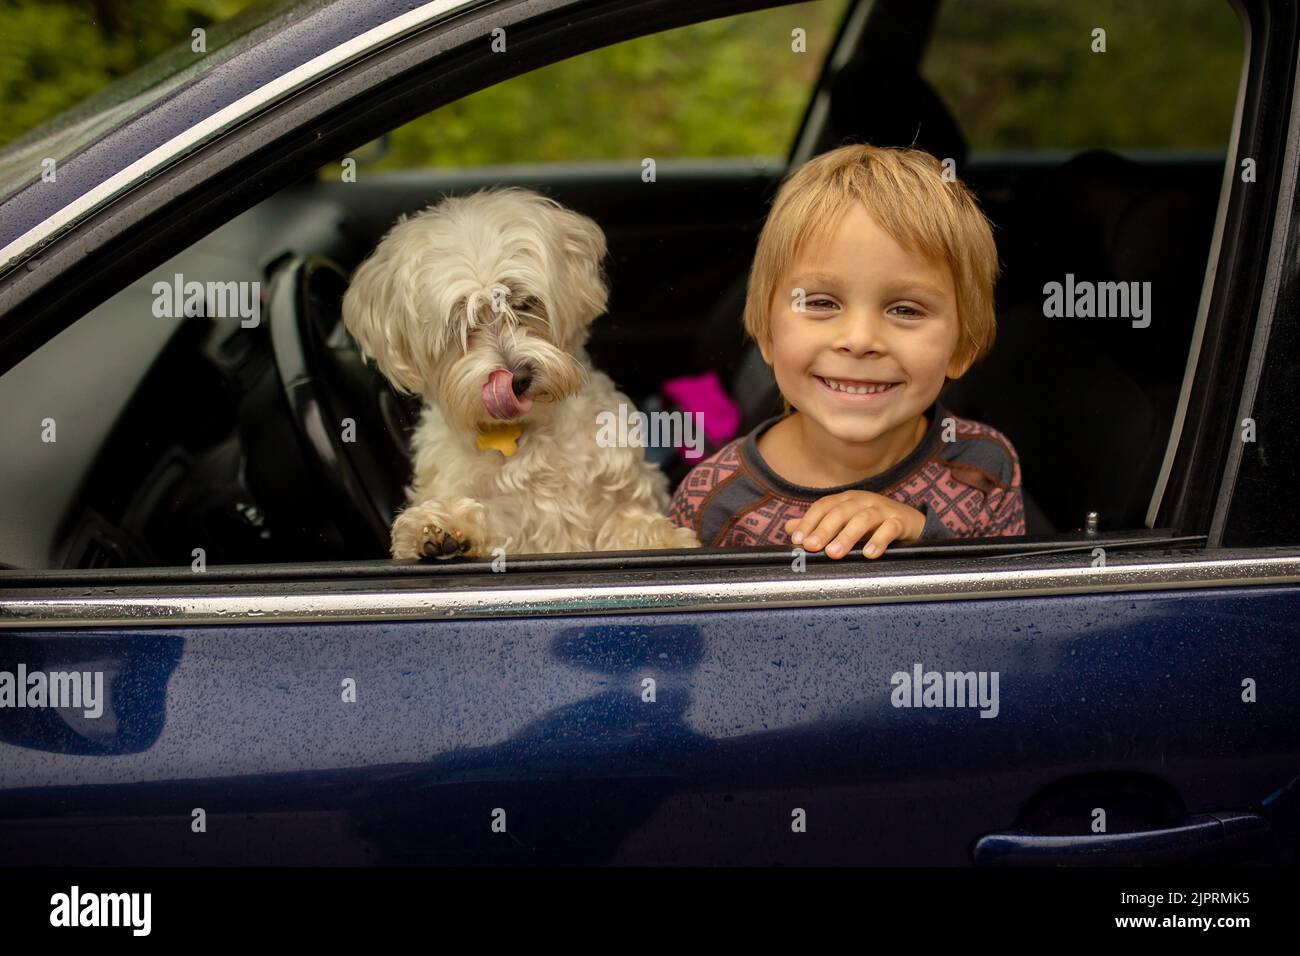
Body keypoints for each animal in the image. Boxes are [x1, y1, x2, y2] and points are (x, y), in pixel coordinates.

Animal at [340, 187, 696, 561]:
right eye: (458, 325)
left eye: (524, 303)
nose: (517, 379)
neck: (525, 433)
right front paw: (442, 528)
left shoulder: (621, 492)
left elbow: (629, 521)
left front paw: (663, 539)